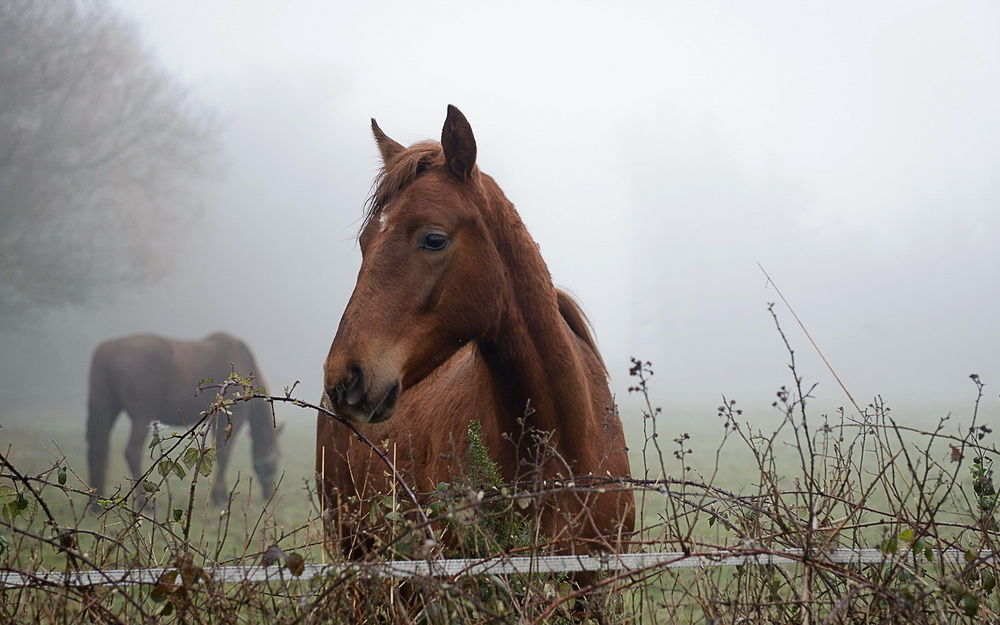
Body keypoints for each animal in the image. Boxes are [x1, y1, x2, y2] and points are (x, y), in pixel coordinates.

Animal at [87, 334, 280, 504]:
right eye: (274, 460)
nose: (270, 492)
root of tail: (109, 348)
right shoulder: (234, 418)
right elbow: (224, 456)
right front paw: (219, 496)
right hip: (142, 416)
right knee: (131, 452)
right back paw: (143, 501)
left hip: (108, 410)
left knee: (97, 449)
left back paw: (94, 504)